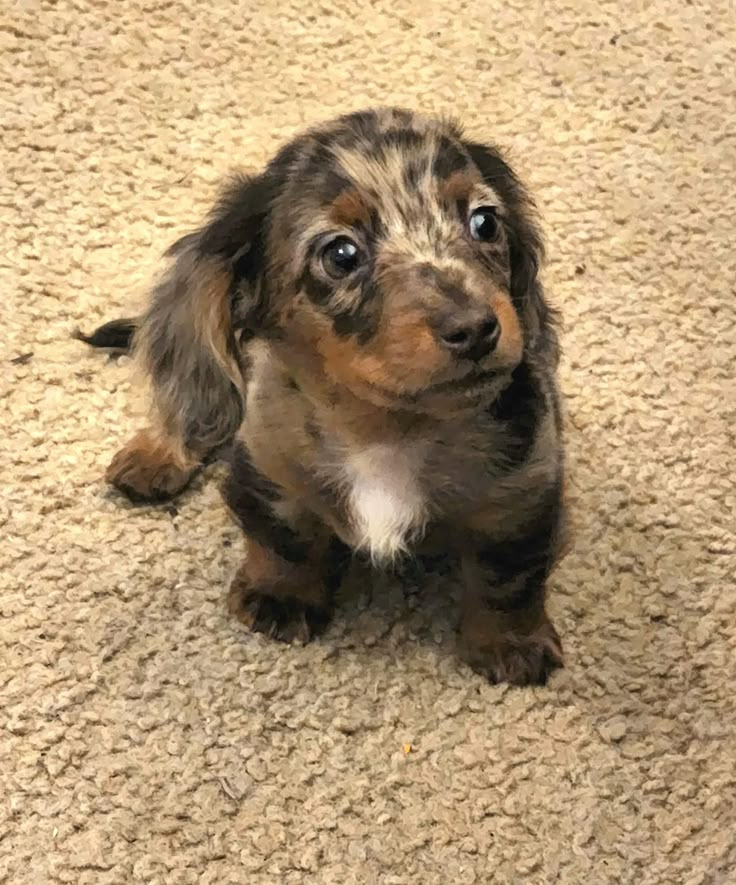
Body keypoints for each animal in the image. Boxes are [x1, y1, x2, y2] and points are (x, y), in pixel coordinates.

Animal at [86, 110, 568, 688]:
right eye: (341, 254)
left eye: (485, 222)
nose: (476, 329)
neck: (387, 430)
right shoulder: (266, 463)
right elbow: (283, 538)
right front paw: (280, 597)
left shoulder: (522, 493)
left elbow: (506, 580)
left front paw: (510, 643)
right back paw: (157, 452)